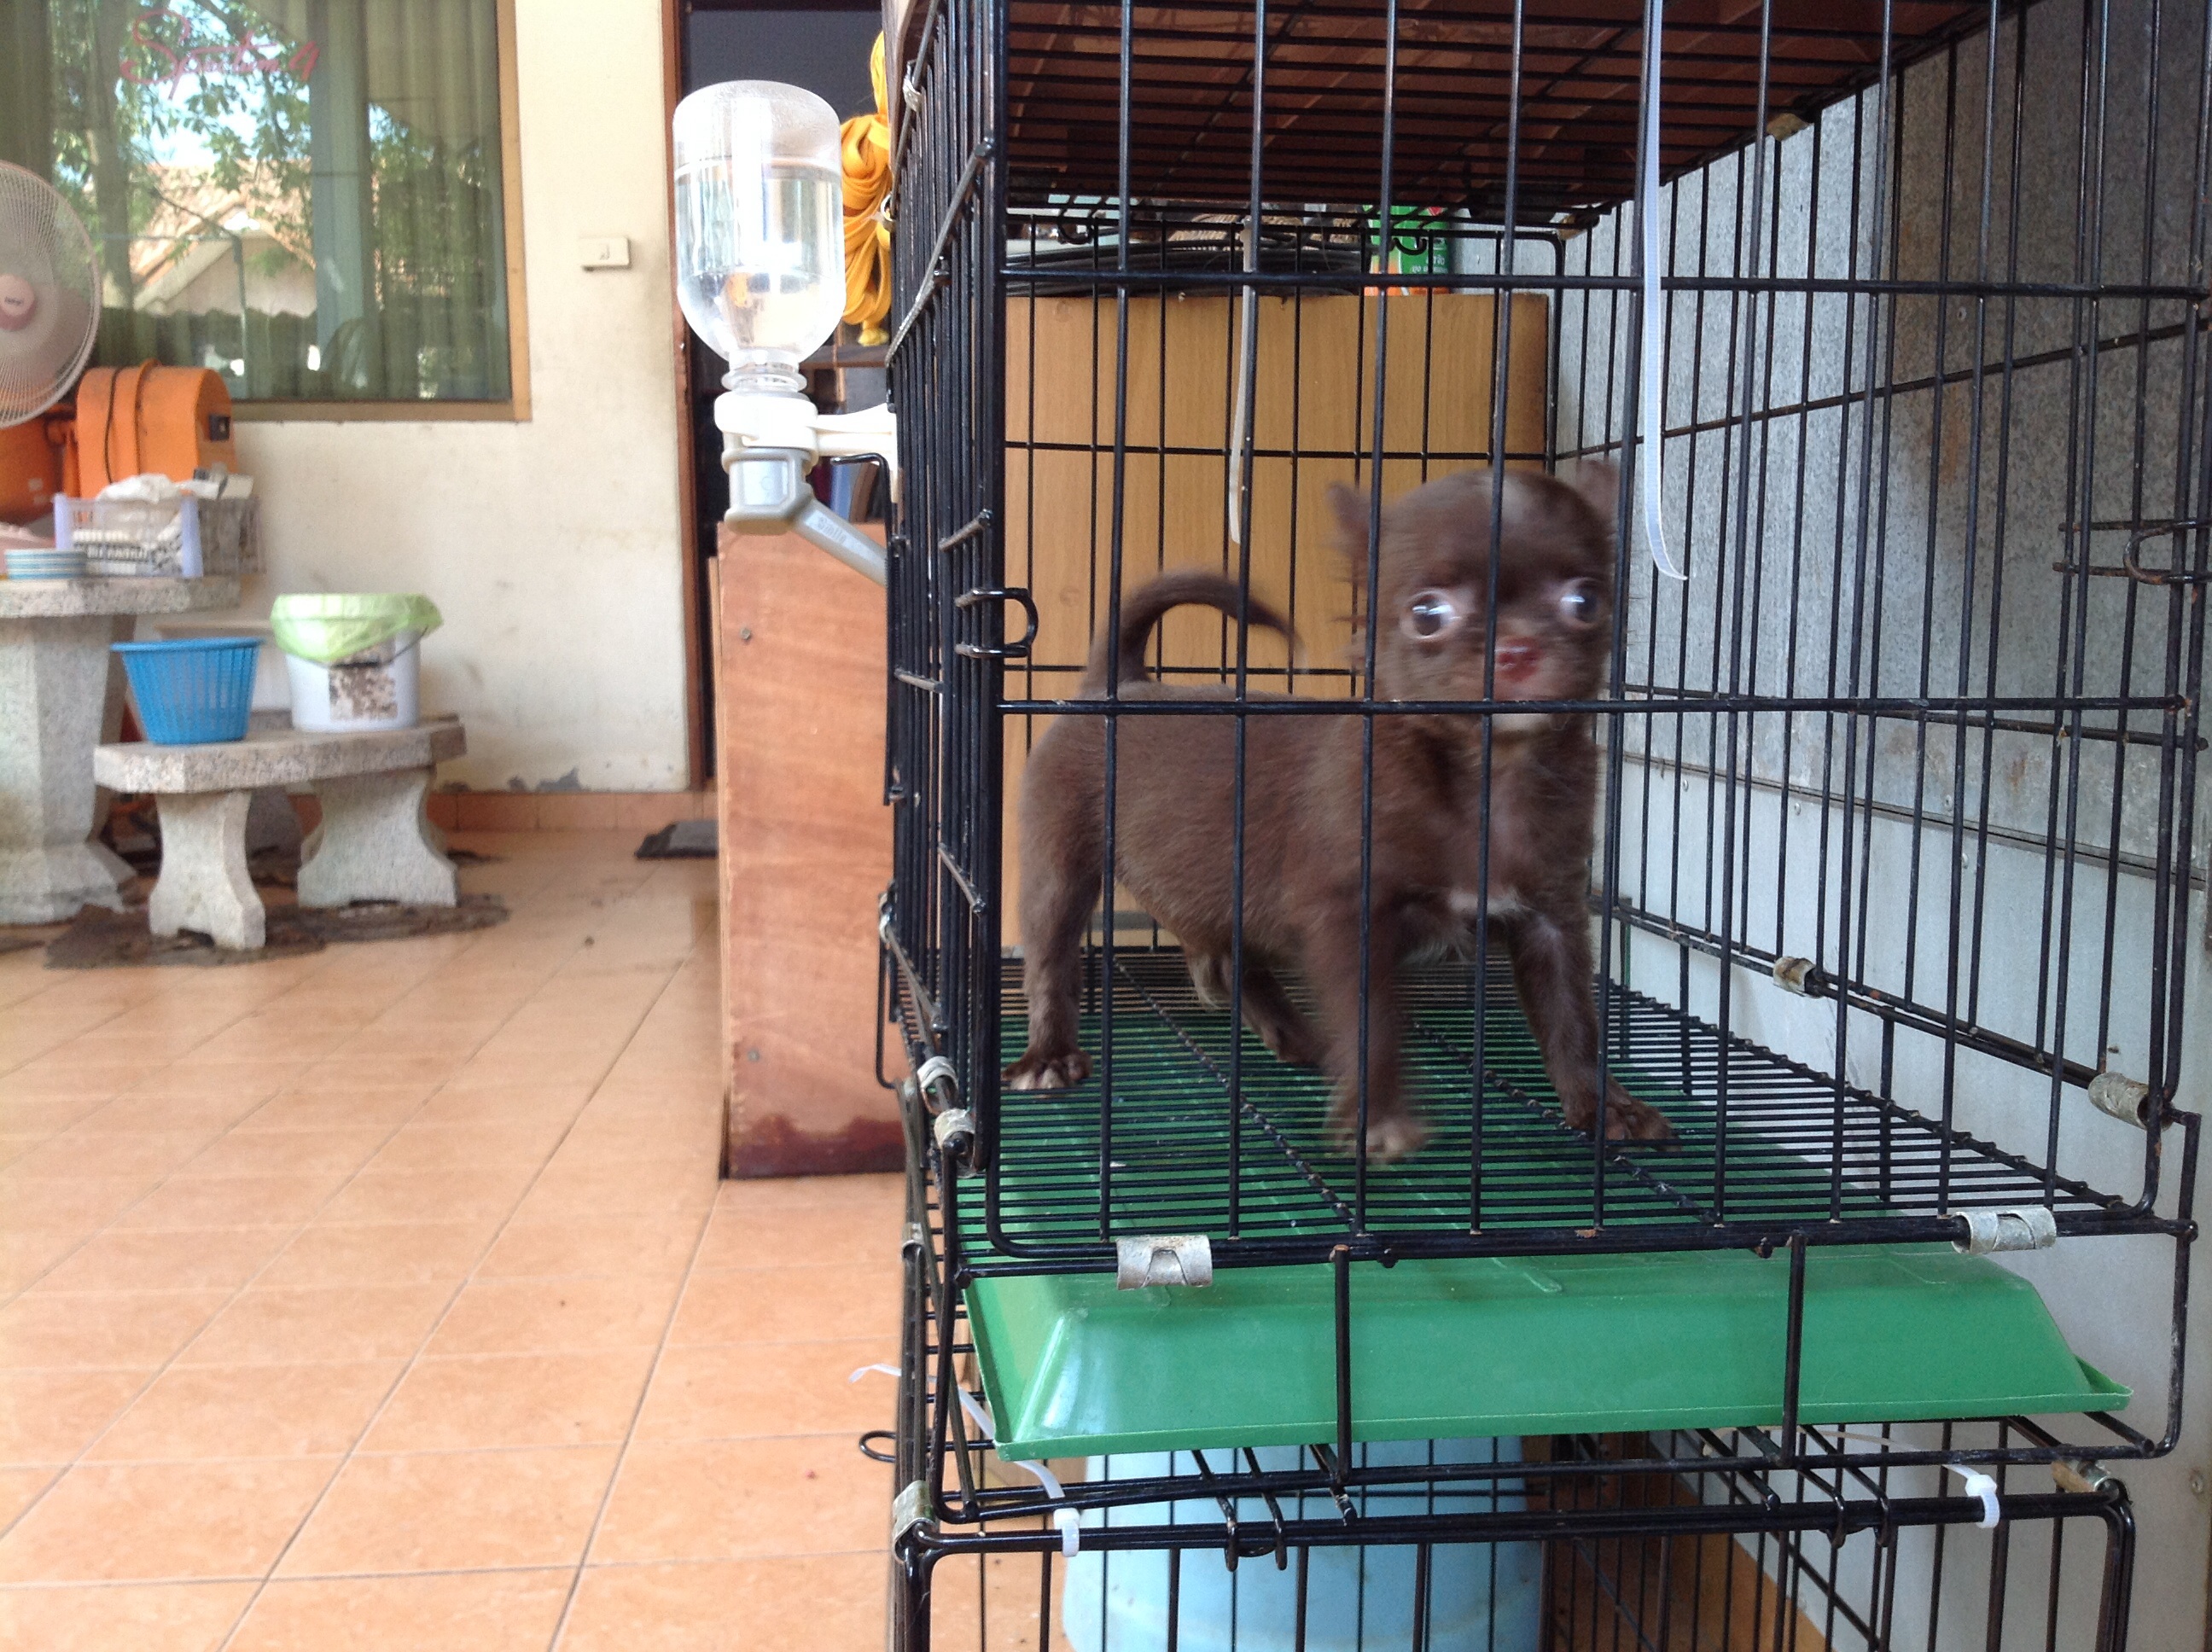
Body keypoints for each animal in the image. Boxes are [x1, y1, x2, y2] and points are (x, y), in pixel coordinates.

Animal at [1003, 465, 1673, 1159]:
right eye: (1427, 614)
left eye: (1585, 602)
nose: (1517, 649)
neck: (1487, 774)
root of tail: (1117, 685)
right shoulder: (1350, 917)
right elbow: (1370, 1020)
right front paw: (1378, 1115)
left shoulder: (1552, 915)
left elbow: (1573, 1018)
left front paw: (1606, 1105)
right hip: (1059, 866)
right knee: (1051, 959)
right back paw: (1049, 1056)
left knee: (1231, 961)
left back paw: (1296, 1037)